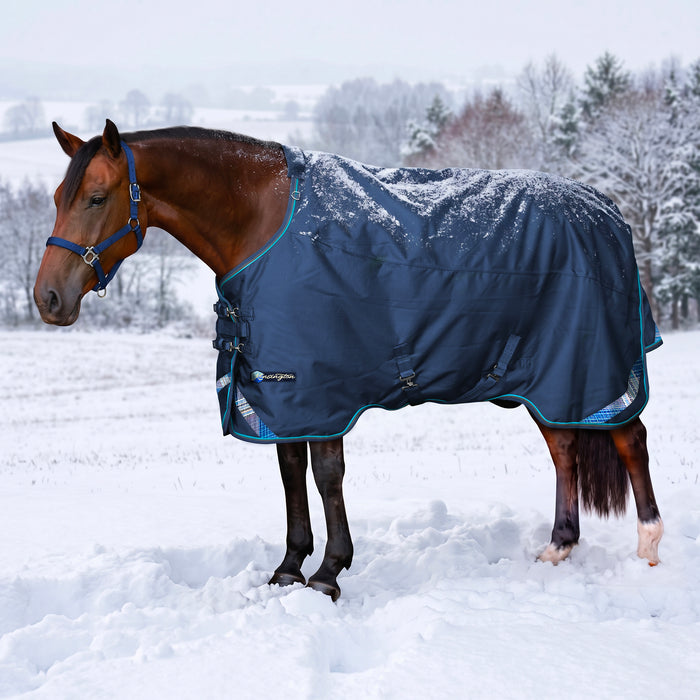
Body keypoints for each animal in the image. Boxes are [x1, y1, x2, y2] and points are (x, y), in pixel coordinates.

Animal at [34, 120, 663, 601]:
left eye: (96, 198)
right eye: (58, 199)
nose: (47, 298)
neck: (261, 222)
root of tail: (606, 209)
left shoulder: (324, 387)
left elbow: (326, 475)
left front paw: (329, 573)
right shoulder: (281, 393)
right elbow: (291, 474)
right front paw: (289, 568)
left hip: (594, 366)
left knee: (629, 439)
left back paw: (649, 550)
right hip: (544, 378)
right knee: (565, 447)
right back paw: (558, 547)